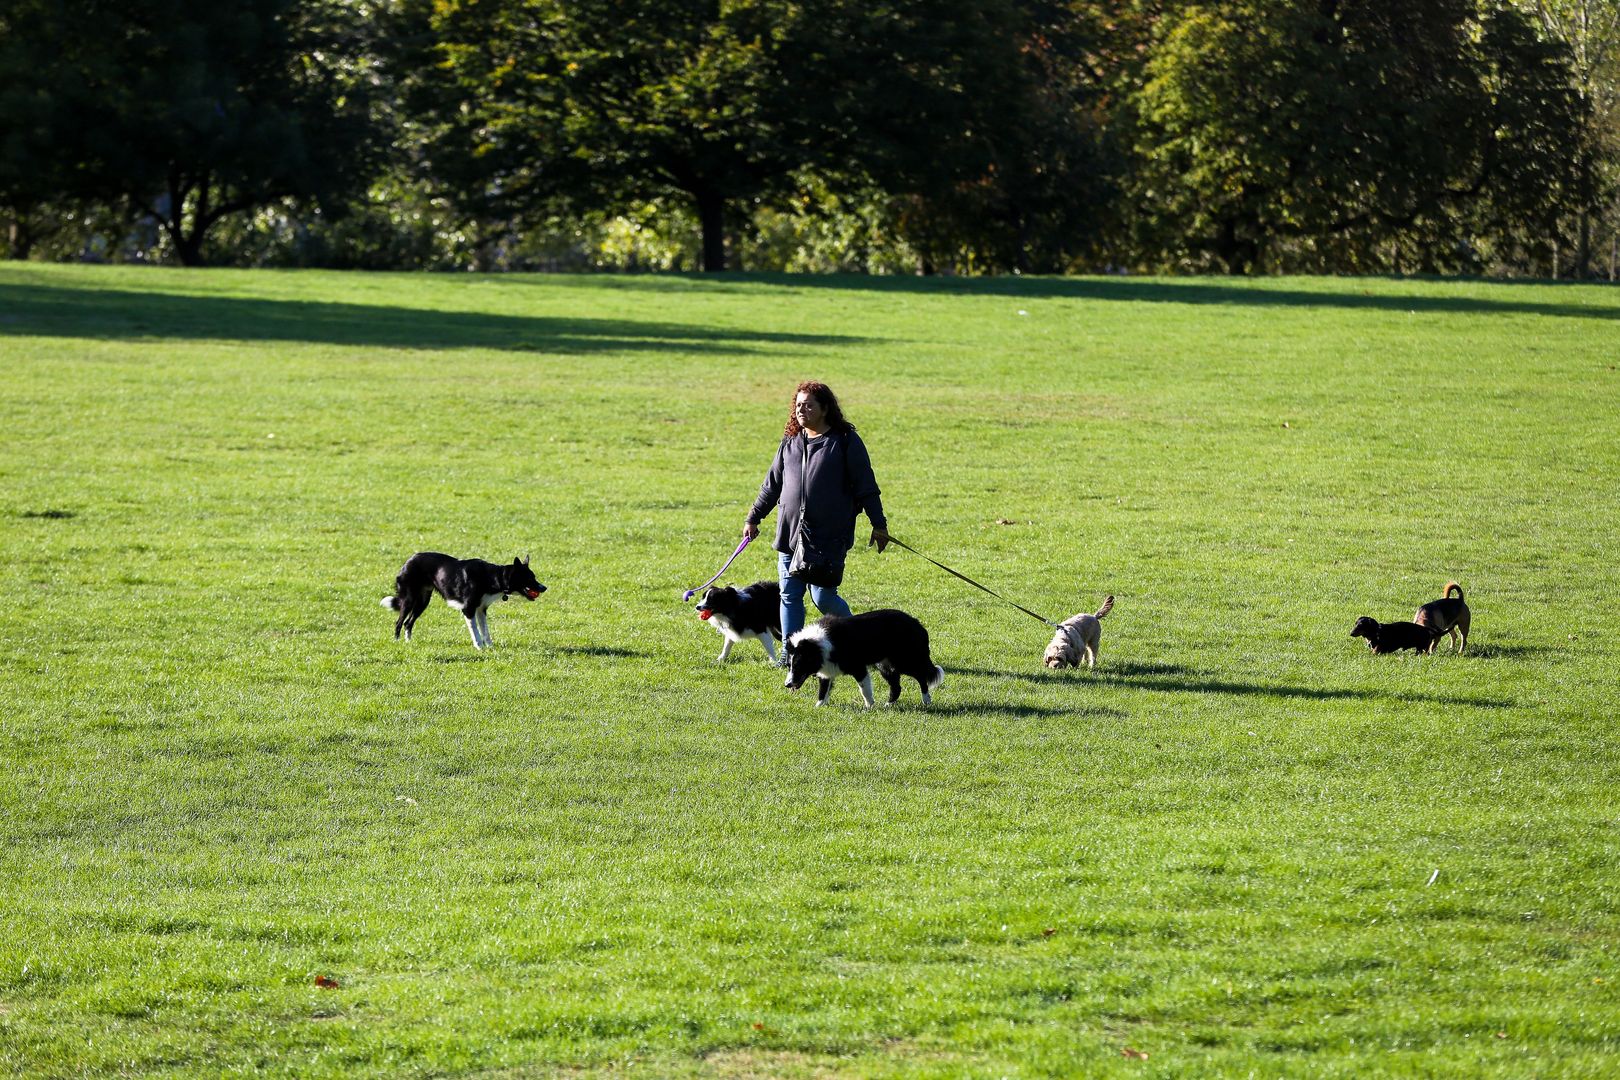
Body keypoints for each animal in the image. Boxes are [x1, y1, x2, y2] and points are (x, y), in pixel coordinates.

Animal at [379, 553, 544, 647]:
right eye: (529, 578)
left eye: (534, 577)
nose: (544, 588)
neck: (493, 576)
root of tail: (408, 561)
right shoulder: (468, 609)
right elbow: (475, 630)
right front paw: (479, 647)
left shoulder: (481, 610)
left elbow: (485, 630)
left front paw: (490, 647)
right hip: (409, 599)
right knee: (399, 622)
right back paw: (397, 642)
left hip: (423, 601)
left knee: (408, 623)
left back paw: (408, 643)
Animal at [784, 608, 946, 709]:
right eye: (789, 666)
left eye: (798, 665)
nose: (787, 684)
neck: (818, 645)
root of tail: (917, 623)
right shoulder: (827, 670)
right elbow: (823, 690)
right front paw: (819, 706)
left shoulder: (858, 667)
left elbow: (864, 689)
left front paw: (869, 706)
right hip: (885, 665)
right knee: (897, 686)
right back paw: (888, 705)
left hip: (905, 661)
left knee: (921, 676)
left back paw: (926, 700)